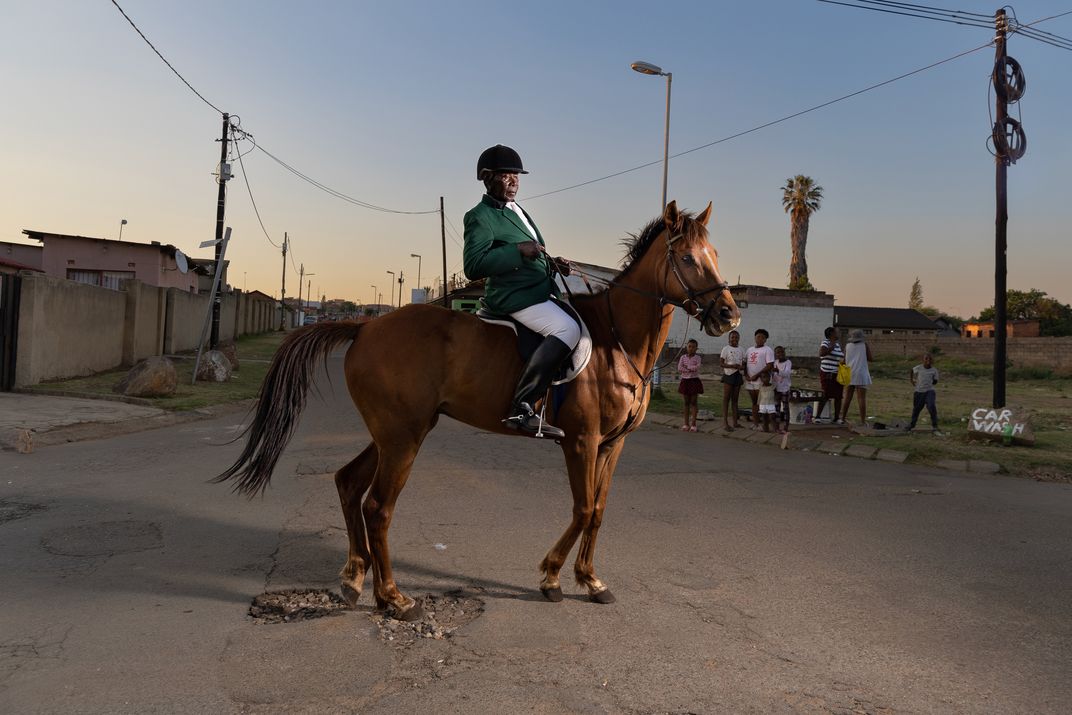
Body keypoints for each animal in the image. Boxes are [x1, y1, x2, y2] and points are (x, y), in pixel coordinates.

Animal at [214, 201, 741, 621]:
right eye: (688, 258)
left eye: (717, 256)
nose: (728, 315)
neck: (618, 343)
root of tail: (364, 327)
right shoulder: (581, 441)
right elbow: (583, 507)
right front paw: (551, 577)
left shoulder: (614, 444)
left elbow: (599, 510)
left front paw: (591, 580)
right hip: (403, 437)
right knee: (378, 506)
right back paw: (393, 598)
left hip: (395, 432)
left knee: (348, 483)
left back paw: (353, 577)